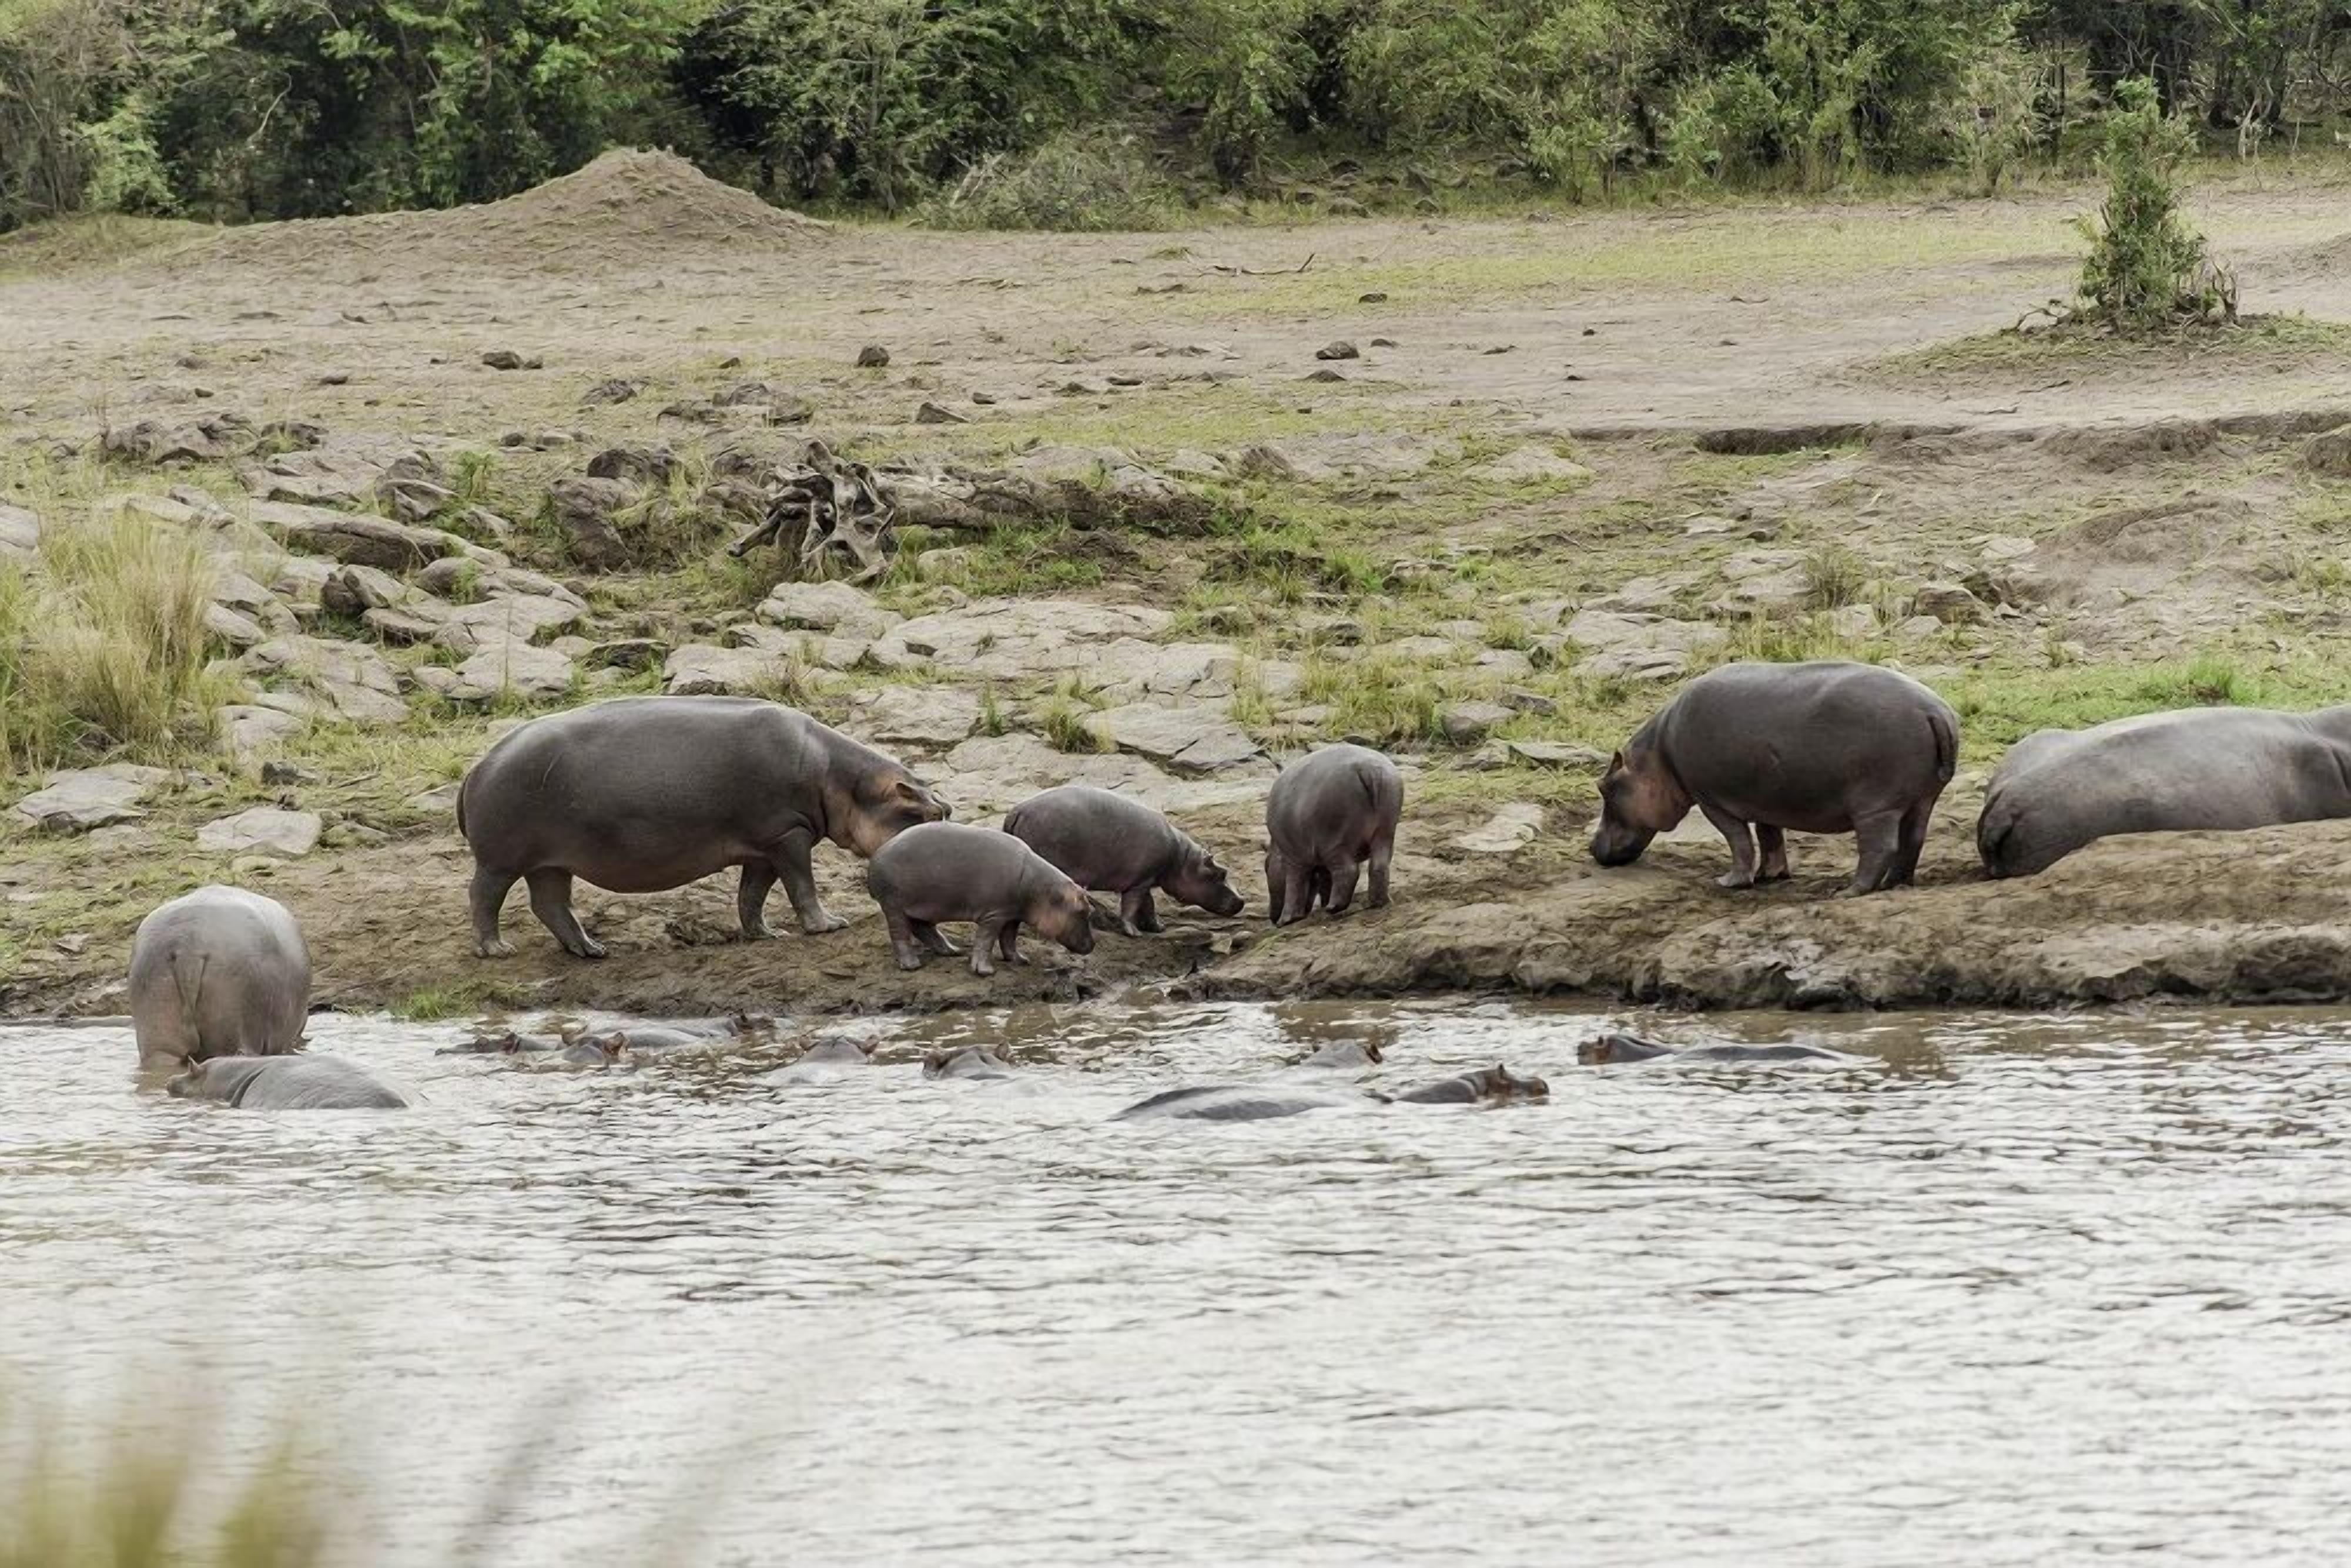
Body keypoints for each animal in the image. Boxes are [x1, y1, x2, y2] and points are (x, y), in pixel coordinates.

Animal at [457, 696, 949, 960]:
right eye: (926, 812)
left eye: (942, 809)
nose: (945, 813)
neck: (842, 779)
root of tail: (477, 766)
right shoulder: (788, 835)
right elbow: (802, 885)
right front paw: (828, 925)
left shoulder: (762, 848)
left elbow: (752, 896)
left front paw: (766, 934)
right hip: (501, 860)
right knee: (484, 896)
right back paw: (496, 950)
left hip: (551, 862)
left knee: (551, 904)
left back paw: (592, 949)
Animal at [866, 822, 1095, 976]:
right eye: (1083, 910)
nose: (1093, 945)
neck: (1043, 890)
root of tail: (877, 854)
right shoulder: (994, 914)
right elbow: (986, 940)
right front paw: (985, 971)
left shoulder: (1012, 915)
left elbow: (1009, 940)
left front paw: (1020, 960)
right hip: (893, 905)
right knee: (900, 934)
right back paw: (912, 965)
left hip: (919, 906)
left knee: (922, 927)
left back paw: (952, 951)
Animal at [1002, 785, 1245, 935]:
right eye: (1221, 873)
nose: (1242, 900)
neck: (1183, 860)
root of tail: (1017, 810)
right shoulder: (1139, 882)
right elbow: (1132, 906)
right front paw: (1134, 933)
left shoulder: (1146, 880)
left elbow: (1149, 905)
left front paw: (1159, 927)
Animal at [1264, 744, 1405, 925]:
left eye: (1266, 866)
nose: (1273, 918)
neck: (1276, 849)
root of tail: (1370, 770)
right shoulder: (1317, 859)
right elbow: (1325, 881)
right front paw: (1322, 904)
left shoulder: (1294, 857)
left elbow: (1295, 886)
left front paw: (1286, 920)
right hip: (1385, 831)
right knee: (1379, 865)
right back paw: (1378, 902)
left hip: (1336, 841)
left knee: (1348, 871)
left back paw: (1333, 908)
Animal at [1591, 661, 1958, 896]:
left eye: (1604, 788)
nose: (1592, 847)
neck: (1658, 759)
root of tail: (1935, 711)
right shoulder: (1765, 799)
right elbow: (1770, 836)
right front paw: (1772, 876)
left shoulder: (1712, 801)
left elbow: (1739, 841)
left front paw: (1728, 882)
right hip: (1922, 799)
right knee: (1913, 840)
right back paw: (1895, 885)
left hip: (1876, 807)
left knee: (1880, 847)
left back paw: (1849, 892)